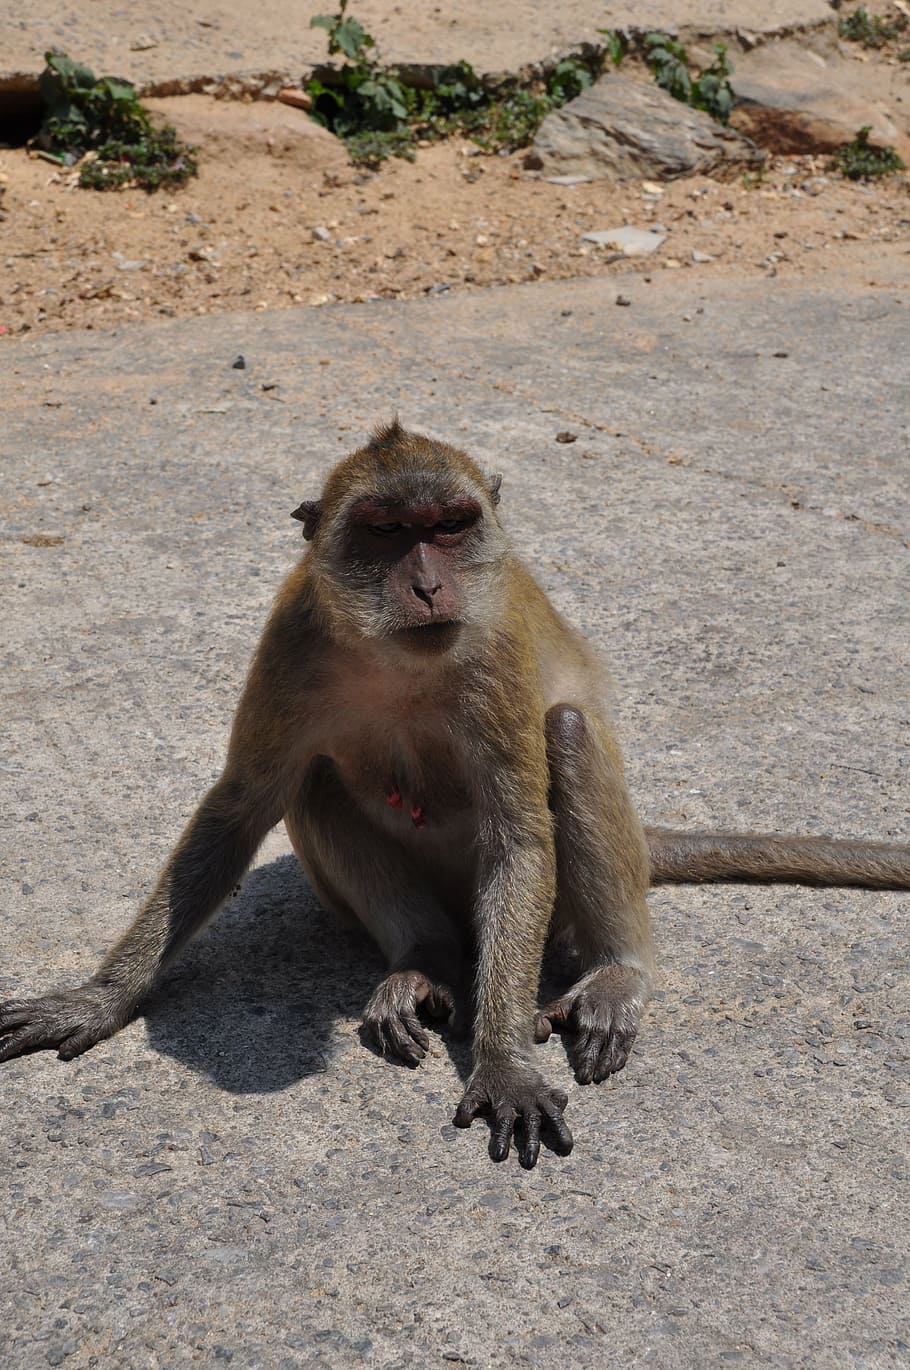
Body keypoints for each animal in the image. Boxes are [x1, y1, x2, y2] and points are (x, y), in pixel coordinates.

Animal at [1, 421, 908, 1170]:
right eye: (387, 532)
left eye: (448, 526)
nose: (430, 586)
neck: (394, 655)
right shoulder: (290, 637)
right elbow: (239, 807)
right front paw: (98, 999)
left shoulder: (494, 651)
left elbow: (519, 836)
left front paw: (504, 1061)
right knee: (316, 778)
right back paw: (426, 960)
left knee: (567, 732)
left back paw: (617, 972)